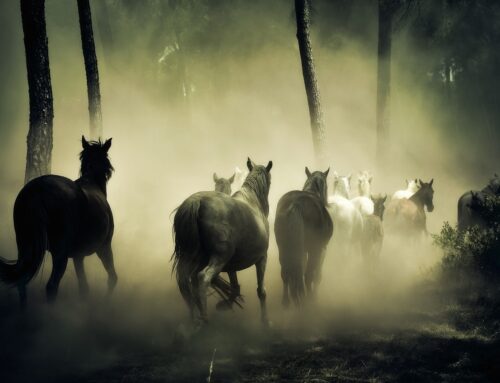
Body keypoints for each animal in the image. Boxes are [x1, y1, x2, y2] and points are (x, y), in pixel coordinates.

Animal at [0, 136, 116, 308]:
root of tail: (37, 188)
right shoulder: (104, 248)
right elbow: (112, 279)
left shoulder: (78, 256)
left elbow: (84, 288)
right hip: (60, 254)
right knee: (51, 287)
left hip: (25, 246)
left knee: (22, 283)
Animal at [172, 158, 274, 326]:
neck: (253, 202)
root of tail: (196, 202)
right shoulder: (261, 258)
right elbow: (261, 291)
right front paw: (265, 322)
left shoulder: (231, 264)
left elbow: (235, 287)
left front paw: (225, 304)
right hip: (219, 258)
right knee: (202, 278)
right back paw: (203, 319)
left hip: (193, 258)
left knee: (185, 282)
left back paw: (193, 319)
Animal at [276, 166, 334, 308]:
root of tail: (296, 204)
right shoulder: (322, 249)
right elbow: (317, 275)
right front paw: (313, 296)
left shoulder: (301, 250)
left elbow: (299, 270)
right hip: (314, 250)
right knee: (309, 275)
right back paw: (308, 301)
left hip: (284, 247)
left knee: (285, 273)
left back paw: (287, 301)